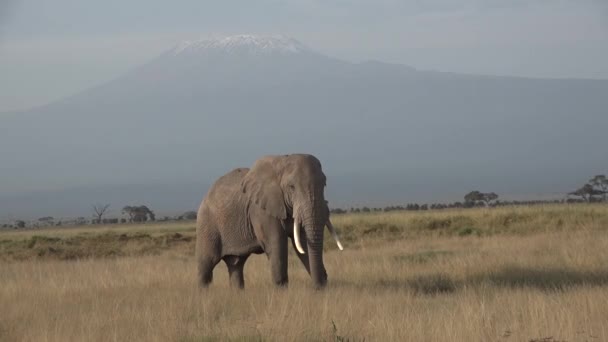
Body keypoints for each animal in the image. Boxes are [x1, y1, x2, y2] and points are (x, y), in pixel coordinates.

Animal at [197, 154, 344, 290]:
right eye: (291, 187)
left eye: (324, 184)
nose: (321, 285)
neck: (283, 161)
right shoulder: (261, 210)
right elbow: (277, 243)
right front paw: (281, 291)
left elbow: (302, 243)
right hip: (207, 224)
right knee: (207, 264)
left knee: (236, 265)